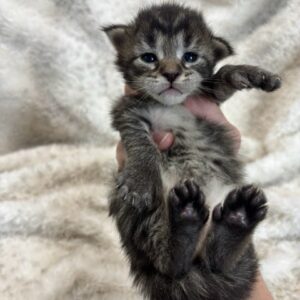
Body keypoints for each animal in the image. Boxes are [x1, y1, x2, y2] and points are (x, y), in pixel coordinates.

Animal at [103, 2, 282, 300]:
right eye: (149, 57)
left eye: (190, 56)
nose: (171, 73)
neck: (170, 104)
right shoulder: (126, 111)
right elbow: (140, 143)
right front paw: (141, 180)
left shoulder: (208, 96)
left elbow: (221, 75)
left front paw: (252, 73)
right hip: (136, 213)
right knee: (172, 265)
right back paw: (186, 223)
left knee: (217, 264)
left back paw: (236, 221)